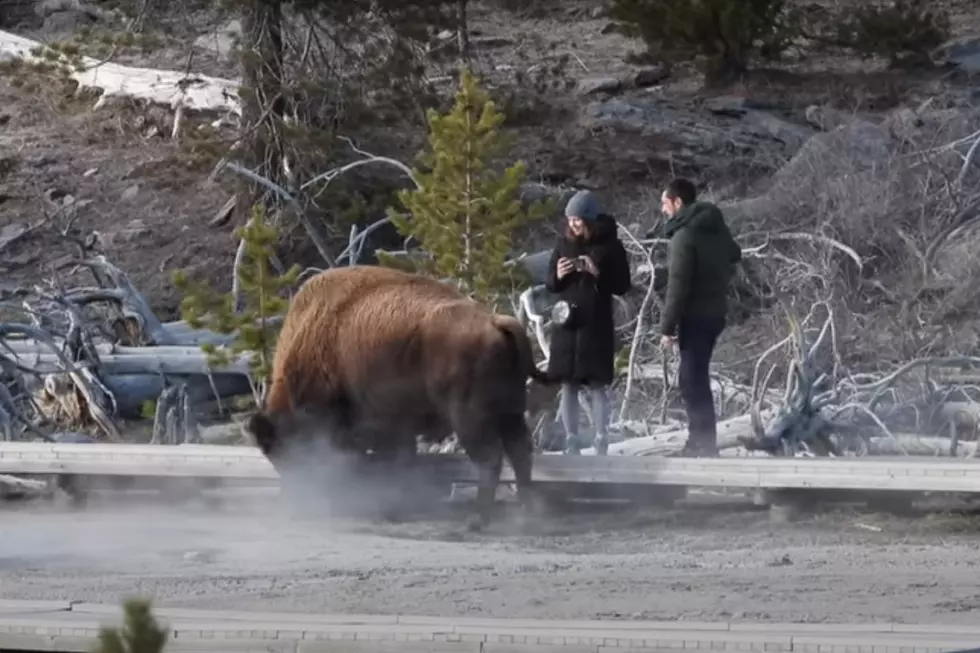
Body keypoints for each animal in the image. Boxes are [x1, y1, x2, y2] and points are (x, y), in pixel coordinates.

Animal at [245, 264, 552, 528]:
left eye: (284, 453)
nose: (295, 495)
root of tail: (496, 321)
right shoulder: (395, 428)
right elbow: (400, 463)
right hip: (511, 412)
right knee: (520, 453)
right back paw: (527, 513)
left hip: (470, 420)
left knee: (490, 460)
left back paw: (477, 519)